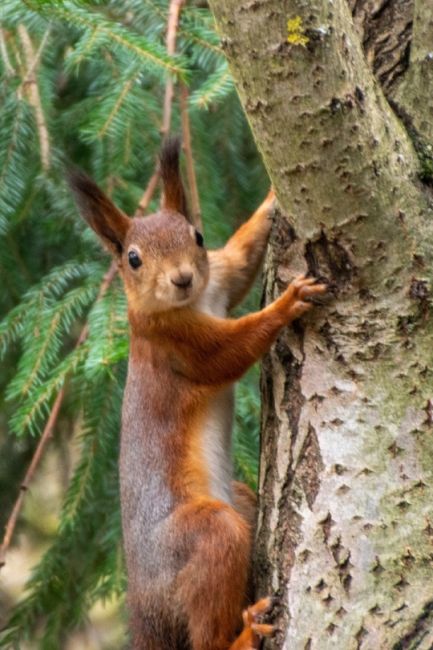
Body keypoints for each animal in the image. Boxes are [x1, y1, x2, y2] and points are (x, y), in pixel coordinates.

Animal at [67, 139, 324, 644]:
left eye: (198, 236)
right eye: (133, 258)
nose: (182, 278)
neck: (194, 301)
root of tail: (145, 605)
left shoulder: (220, 276)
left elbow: (242, 256)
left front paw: (271, 198)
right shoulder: (178, 344)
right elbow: (231, 351)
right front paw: (287, 303)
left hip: (240, 499)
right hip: (202, 536)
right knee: (208, 631)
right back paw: (244, 637)